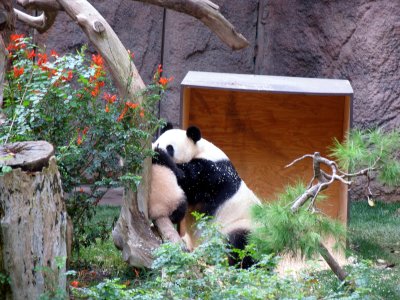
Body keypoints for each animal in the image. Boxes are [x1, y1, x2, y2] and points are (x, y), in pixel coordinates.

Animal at [152, 125, 260, 268]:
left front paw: (158, 154)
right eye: (158, 140)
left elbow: (186, 179)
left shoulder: (212, 174)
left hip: (242, 225)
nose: (156, 146)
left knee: (242, 244)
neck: (199, 150)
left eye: (170, 148)